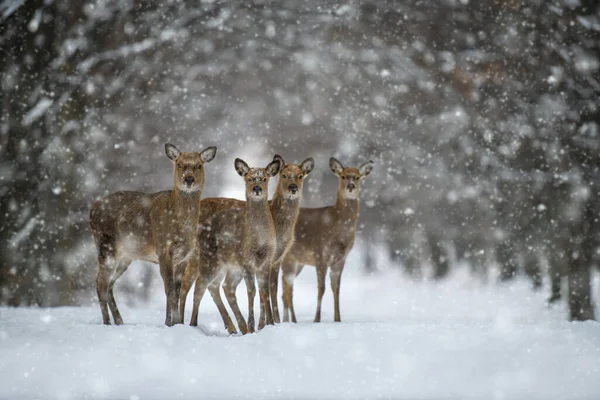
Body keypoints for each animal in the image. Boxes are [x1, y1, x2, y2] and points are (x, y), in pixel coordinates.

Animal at [90, 143, 217, 324]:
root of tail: (92, 208)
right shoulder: (163, 248)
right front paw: (169, 323)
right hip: (106, 246)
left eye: (199, 165)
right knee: (100, 284)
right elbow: (169, 289)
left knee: (109, 285)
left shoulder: (184, 256)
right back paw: (107, 322)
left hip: (126, 255)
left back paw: (119, 322)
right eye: (179, 164)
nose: (189, 179)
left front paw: (176, 322)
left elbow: (177, 291)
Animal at [178, 156, 284, 334]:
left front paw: (268, 324)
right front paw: (252, 326)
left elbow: (265, 292)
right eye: (249, 179)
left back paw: (235, 327)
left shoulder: (266, 260)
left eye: (264, 178)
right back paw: (192, 323)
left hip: (227, 266)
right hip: (209, 258)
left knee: (221, 286)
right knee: (199, 285)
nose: (257, 188)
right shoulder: (246, 260)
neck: (259, 239)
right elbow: (252, 291)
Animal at [280, 156, 372, 322]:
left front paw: (338, 319)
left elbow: (336, 288)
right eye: (343, 176)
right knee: (286, 289)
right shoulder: (320, 253)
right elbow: (321, 288)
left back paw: (289, 320)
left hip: (298, 262)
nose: (351, 186)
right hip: (287, 258)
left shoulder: (341, 259)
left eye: (357, 177)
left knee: (285, 290)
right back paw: (290, 320)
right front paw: (317, 319)